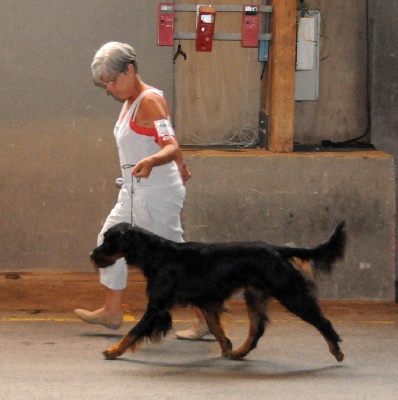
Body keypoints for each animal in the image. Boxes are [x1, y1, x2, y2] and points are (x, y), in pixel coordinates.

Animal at [90, 222, 346, 362]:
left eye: (109, 241)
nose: (92, 255)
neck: (157, 254)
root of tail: (278, 249)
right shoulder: (205, 302)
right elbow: (216, 327)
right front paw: (227, 347)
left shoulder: (156, 307)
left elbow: (133, 331)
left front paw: (113, 350)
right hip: (254, 295)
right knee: (257, 329)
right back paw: (240, 352)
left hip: (289, 293)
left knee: (322, 321)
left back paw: (336, 350)